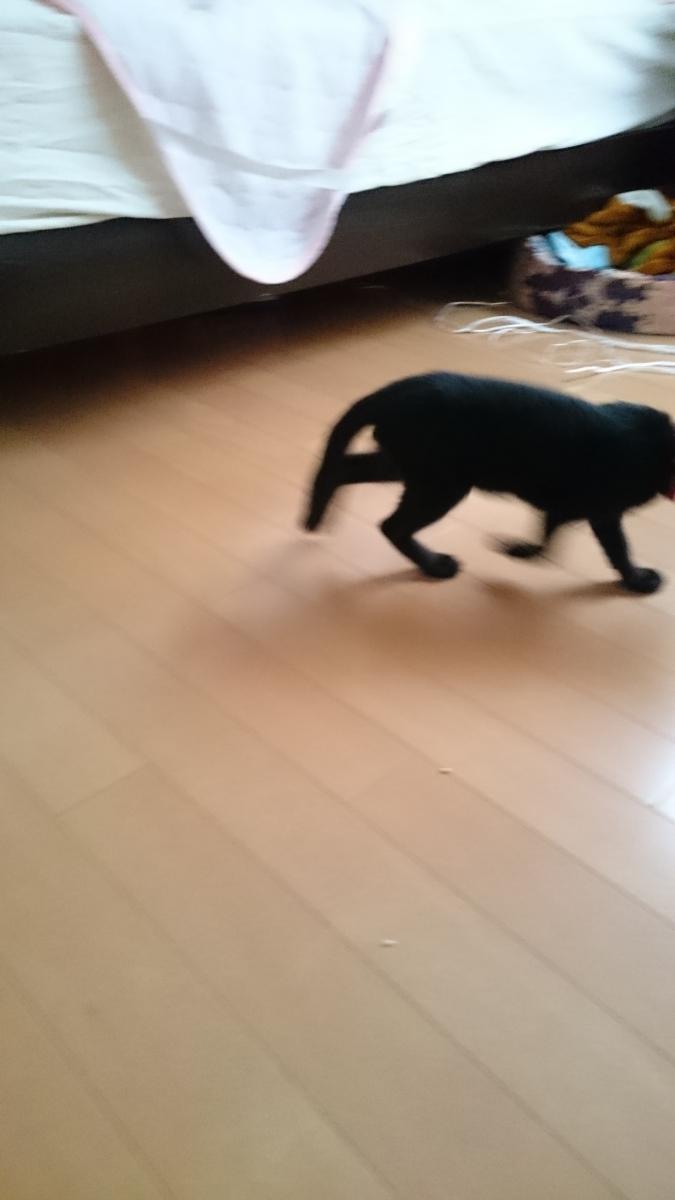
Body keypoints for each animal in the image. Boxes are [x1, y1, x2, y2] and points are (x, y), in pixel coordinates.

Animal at [303, 372, 675, 594]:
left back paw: (319, 512)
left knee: (343, 468)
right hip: (441, 484)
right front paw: (638, 580)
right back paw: (436, 566)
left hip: (409, 468)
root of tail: (389, 393)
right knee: (393, 526)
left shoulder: (569, 505)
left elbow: (547, 534)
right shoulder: (605, 512)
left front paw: (518, 551)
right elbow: (619, 550)